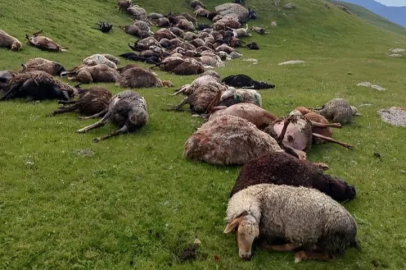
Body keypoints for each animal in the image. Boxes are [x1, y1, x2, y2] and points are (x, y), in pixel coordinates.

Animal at [225, 184, 358, 262]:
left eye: (254, 237)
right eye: (241, 234)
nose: (246, 257)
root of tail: (353, 228)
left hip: (327, 239)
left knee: (329, 256)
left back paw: (300, 254)